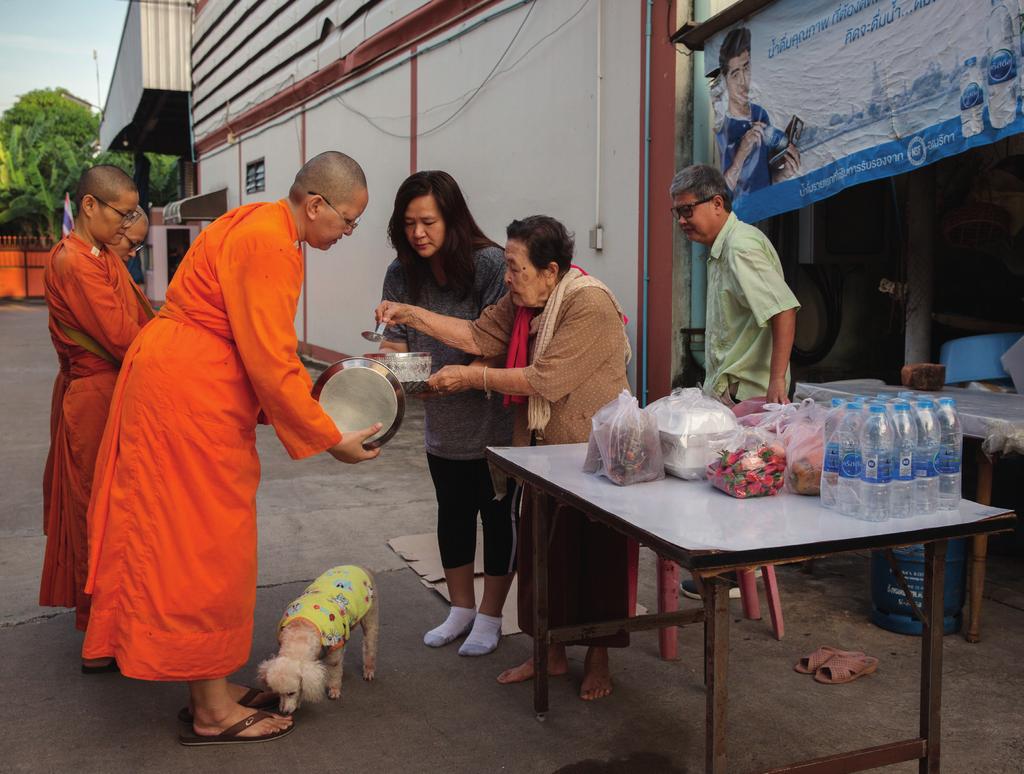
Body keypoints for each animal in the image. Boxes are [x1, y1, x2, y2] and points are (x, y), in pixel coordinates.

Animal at [258, 561, 378, 712]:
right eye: (277, 693)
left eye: (291, 693)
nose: (284, 713)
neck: (301, 632)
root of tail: (357, 566)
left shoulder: (334, 647)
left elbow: (334, 669)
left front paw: (334, 690)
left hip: (370, 614)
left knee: (370, 644)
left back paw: (368, 670)